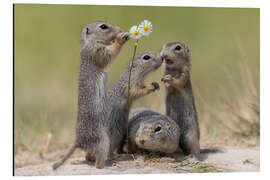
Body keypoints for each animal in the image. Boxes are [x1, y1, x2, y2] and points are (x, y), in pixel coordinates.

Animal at [52, 21, 130, 169]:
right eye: (103, 26)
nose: (121, 29)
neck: (90, 42)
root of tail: (79, 140)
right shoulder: (97, 51)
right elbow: (108, 54)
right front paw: (121, 38)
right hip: (102, 140)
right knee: (98, 161)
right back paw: (107, 164)